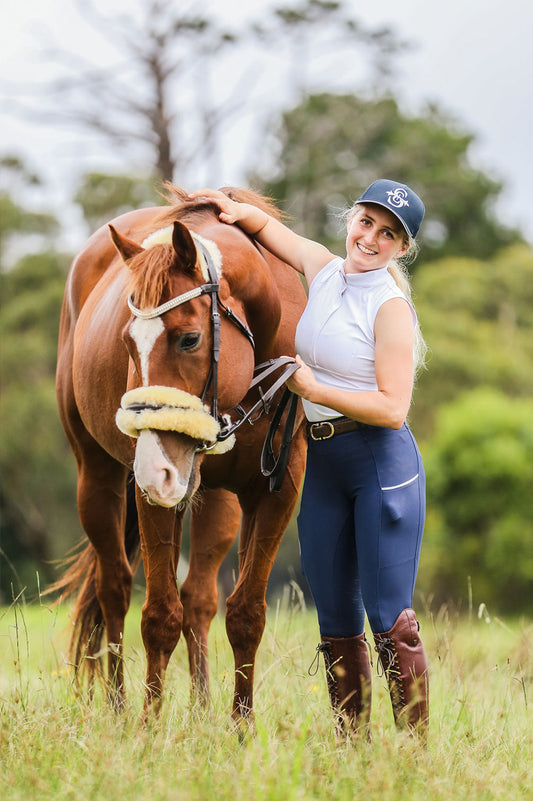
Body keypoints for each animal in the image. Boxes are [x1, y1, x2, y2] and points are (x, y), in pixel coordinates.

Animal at [53, 186, 306, 720]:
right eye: (128, 342)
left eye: (189, 338)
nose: (154, 471)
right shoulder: (154, 493)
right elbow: (158, 616)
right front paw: (150, 724)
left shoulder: (276, 489)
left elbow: (245, 613)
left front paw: (239, 726)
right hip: (100, 478)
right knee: (115, 588)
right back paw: (120, 707)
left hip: (214, 499)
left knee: (199, 598)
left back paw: (202, 706)